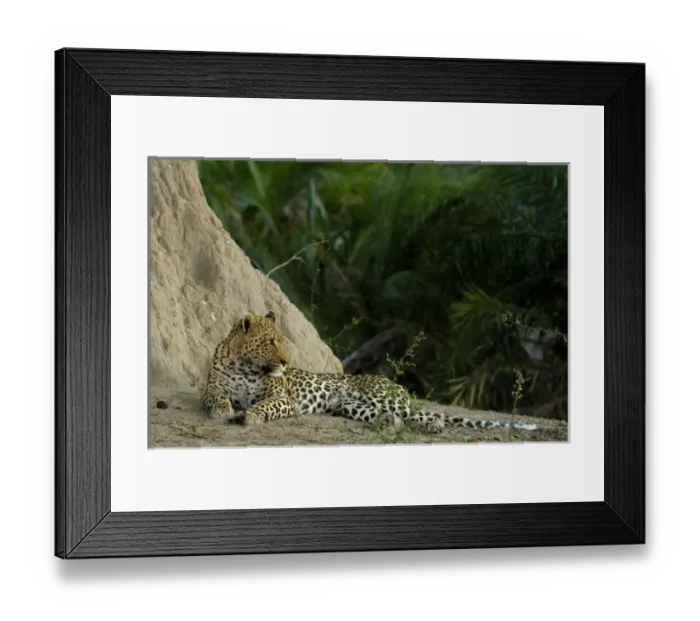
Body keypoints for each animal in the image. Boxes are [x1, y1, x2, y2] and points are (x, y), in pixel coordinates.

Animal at [202, 310, 537, 434]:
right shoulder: (211, 389)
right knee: (397, 418)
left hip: (381, 397)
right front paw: (224, 412)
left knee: (425, 414)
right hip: (350, 406)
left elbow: (264, 405)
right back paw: (391, 424)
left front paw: (250, 416)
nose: (285, 362)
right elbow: (216, 399)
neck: (243, 365)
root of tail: (388, 382)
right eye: (271, 342)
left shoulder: (281, 397)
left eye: (282, 341)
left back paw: (434, 426)